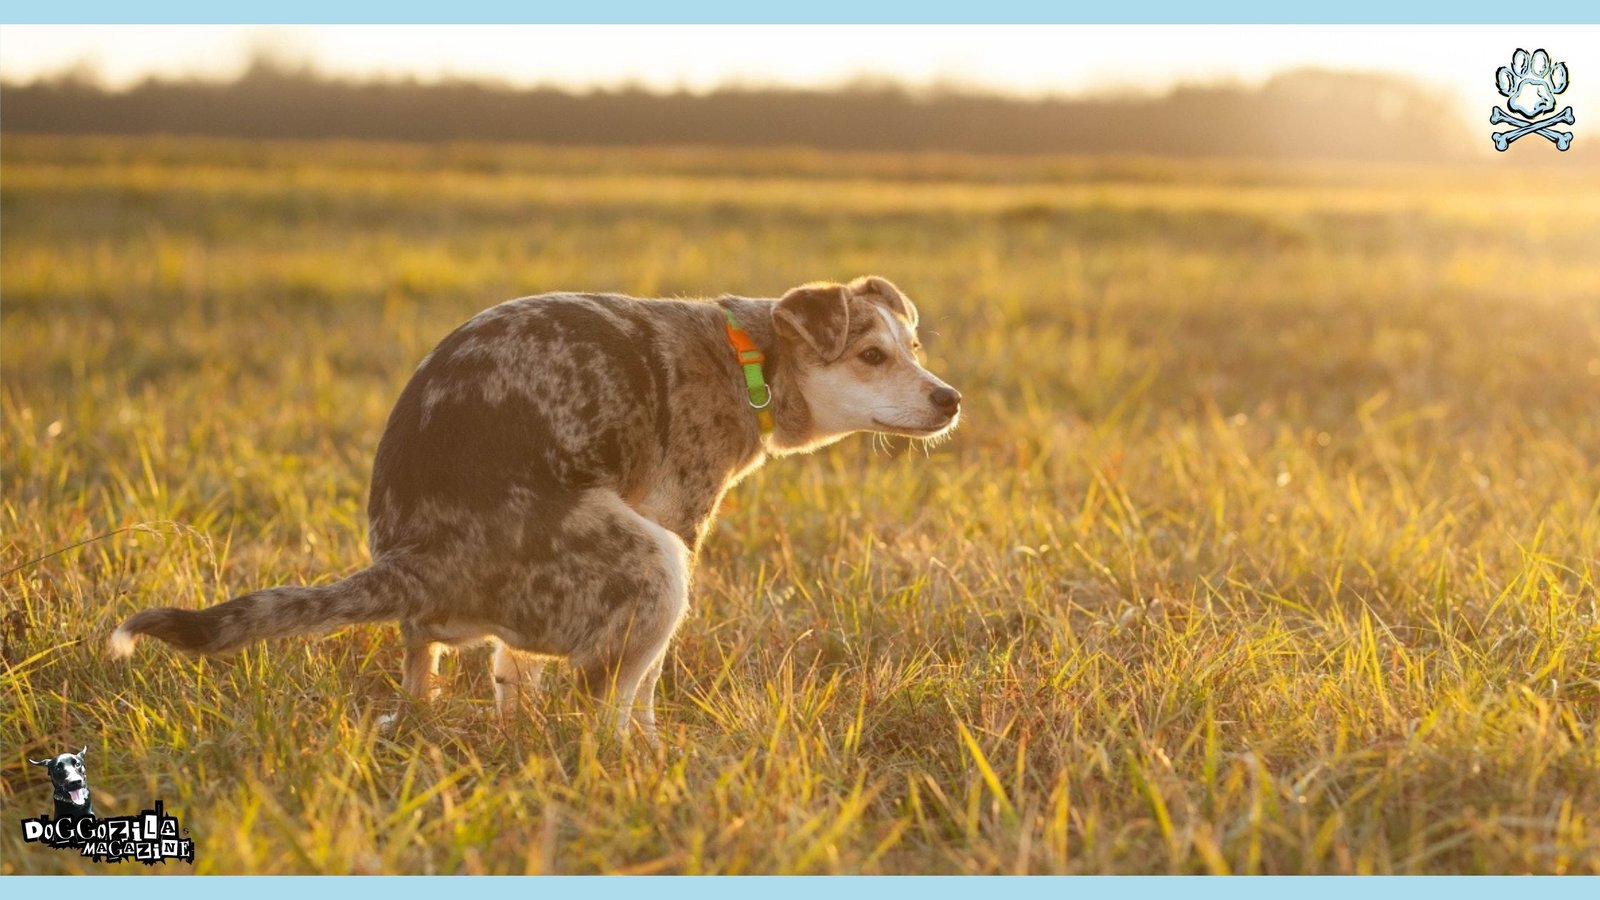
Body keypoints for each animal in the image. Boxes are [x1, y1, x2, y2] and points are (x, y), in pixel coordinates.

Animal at [118, 275, 960, 736]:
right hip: (655, 563)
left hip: (461, 623)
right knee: (602, 706)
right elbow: (644, 690)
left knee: (430, 668)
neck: (748, 357)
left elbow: (511, 671)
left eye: (915, 350)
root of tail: (412, 561)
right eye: (872, 355)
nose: (950, 398)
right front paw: (653, 752)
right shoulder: (678, 521)